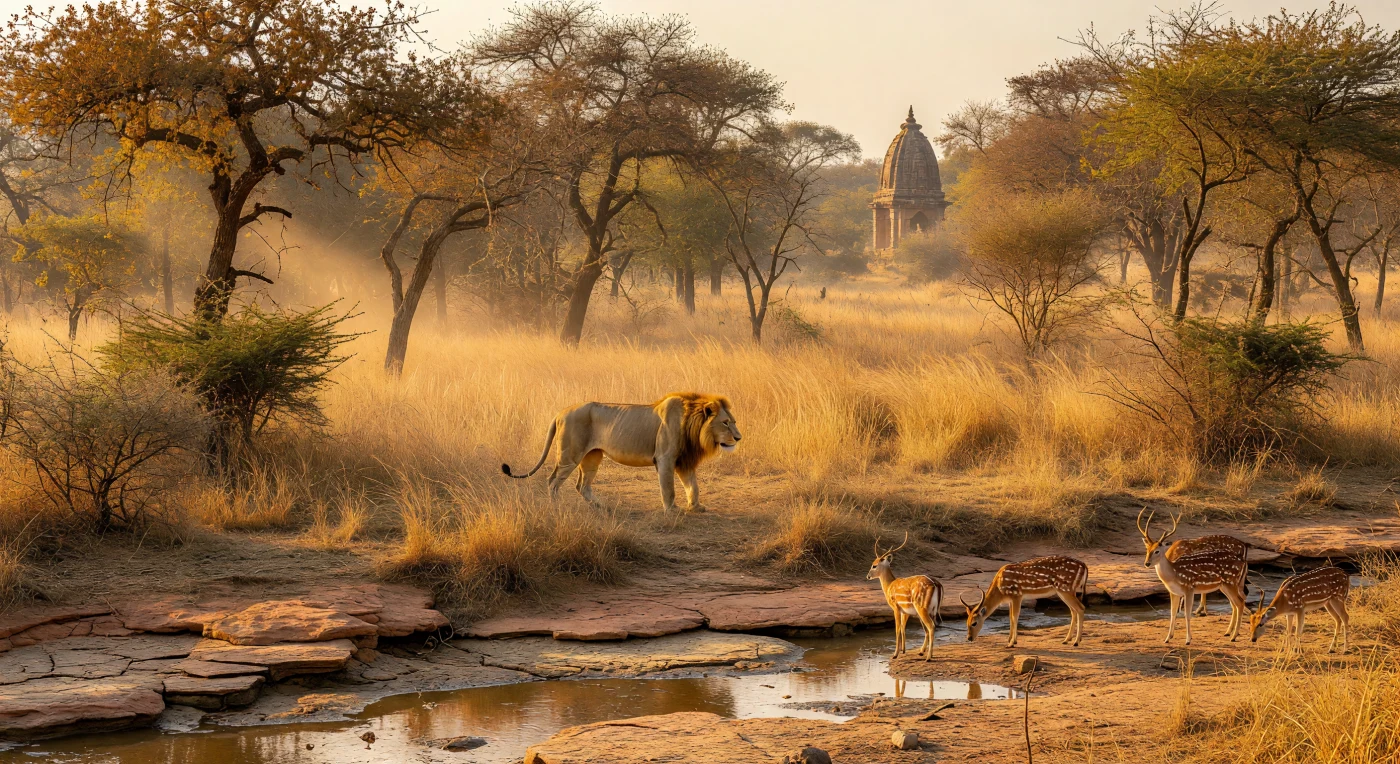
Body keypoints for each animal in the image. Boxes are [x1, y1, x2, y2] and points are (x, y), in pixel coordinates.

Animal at [502, 392, 741, 512]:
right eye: (725, 423)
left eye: (734, 422)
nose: (739, 438)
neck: (693, 424)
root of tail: (561, 412)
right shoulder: (665, 458)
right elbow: (669, 488)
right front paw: (673, 510)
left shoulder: (684, 460)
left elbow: (693, 485)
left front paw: (697, 506)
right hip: (570, 456)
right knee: (552, 481)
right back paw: (556, 507)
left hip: (592, 457)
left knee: (582, 485)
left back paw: (601, 506)